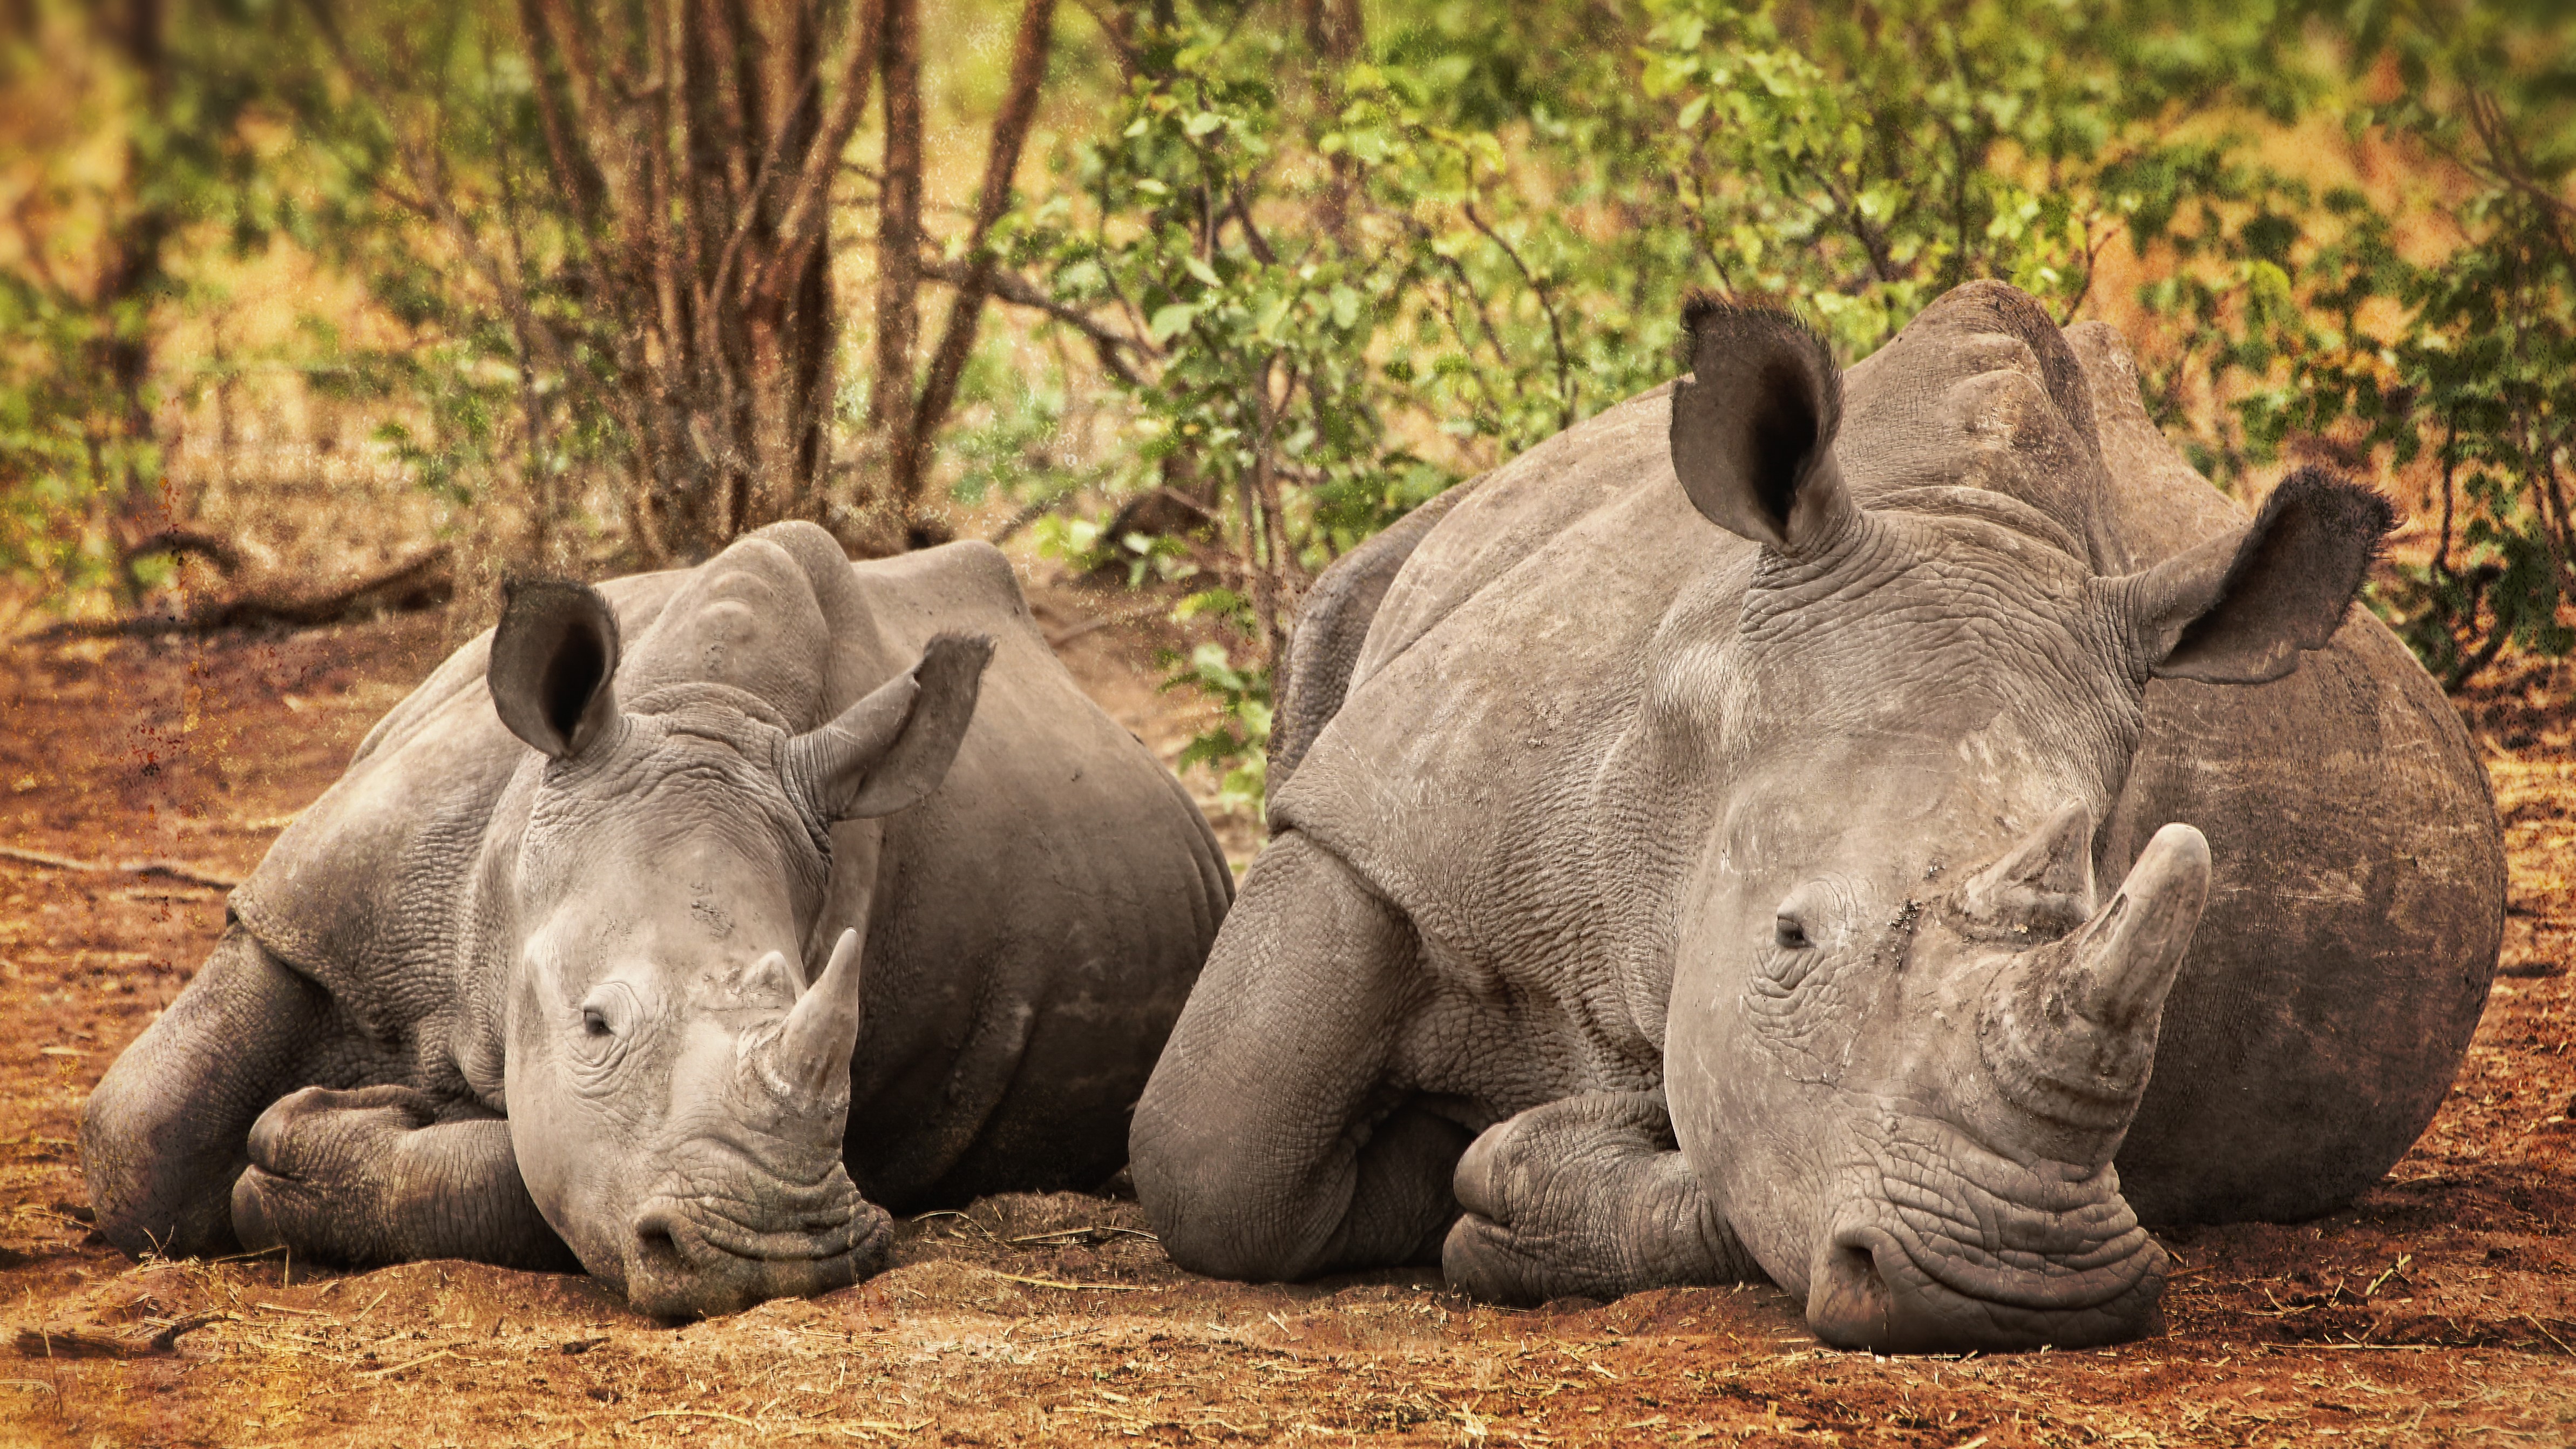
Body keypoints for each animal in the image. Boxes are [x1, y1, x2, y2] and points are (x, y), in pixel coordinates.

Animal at [82, 521, 1232, 1318]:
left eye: (831, 1020)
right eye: (594, 1023)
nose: (780, 1254)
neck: (704, 709)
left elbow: (530, 1174)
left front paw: (318, 1137)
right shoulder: (315, 909)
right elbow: (137, 1138)